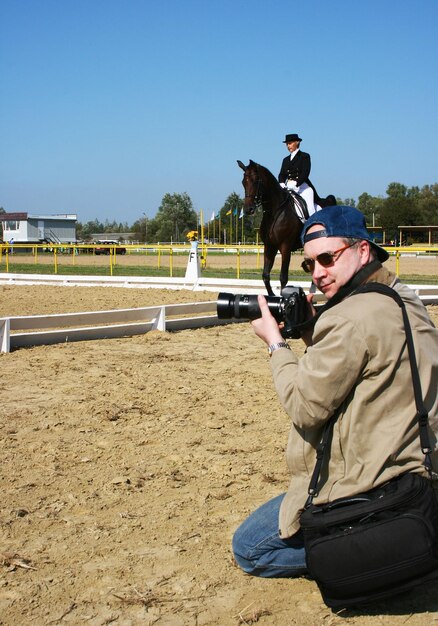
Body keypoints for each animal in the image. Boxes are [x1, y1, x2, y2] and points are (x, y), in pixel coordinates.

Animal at [240, 161, 336, 298]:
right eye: (243, 182)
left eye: (255, 181)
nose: (248, 209)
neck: (274, 212)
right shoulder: (269, 246)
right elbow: (265, 275)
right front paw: (271, 295)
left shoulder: (285, 246)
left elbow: (283, 277)